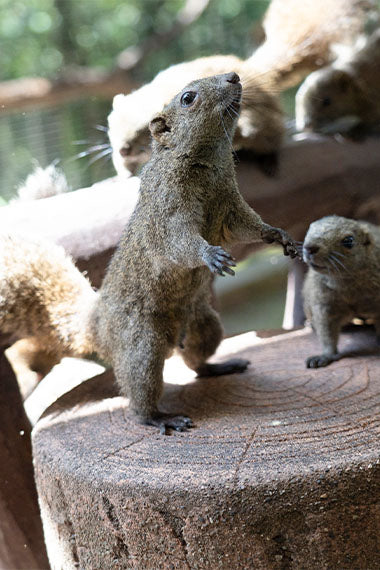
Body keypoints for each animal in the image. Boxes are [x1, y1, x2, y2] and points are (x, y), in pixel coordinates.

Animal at [1, 73, 298, 432]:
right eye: (187, 98)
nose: (234, 76)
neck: (209, 164)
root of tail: (98, 325)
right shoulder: (167, 212)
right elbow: (179, 242)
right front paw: (210, 255)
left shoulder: (231, 206)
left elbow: (250, 226)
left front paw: (277, 234)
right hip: (143, 345)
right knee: (139, 395)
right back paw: (161, 418)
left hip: (204, 322)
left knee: (195, 361)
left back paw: (218, 367)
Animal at [107, 0, 374, 175]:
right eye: (111, 124)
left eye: (147, 125)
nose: (123, 150)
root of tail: (254, 70)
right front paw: (125, 172)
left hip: (260, 121)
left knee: (271, 135)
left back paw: (267, 159)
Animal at [302, 215, 380, 366]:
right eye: (309, 230)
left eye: (348, 241)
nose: (309, 247)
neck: (346, 283)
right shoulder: (323, 304)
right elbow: (326, 332)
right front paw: (325, 356)